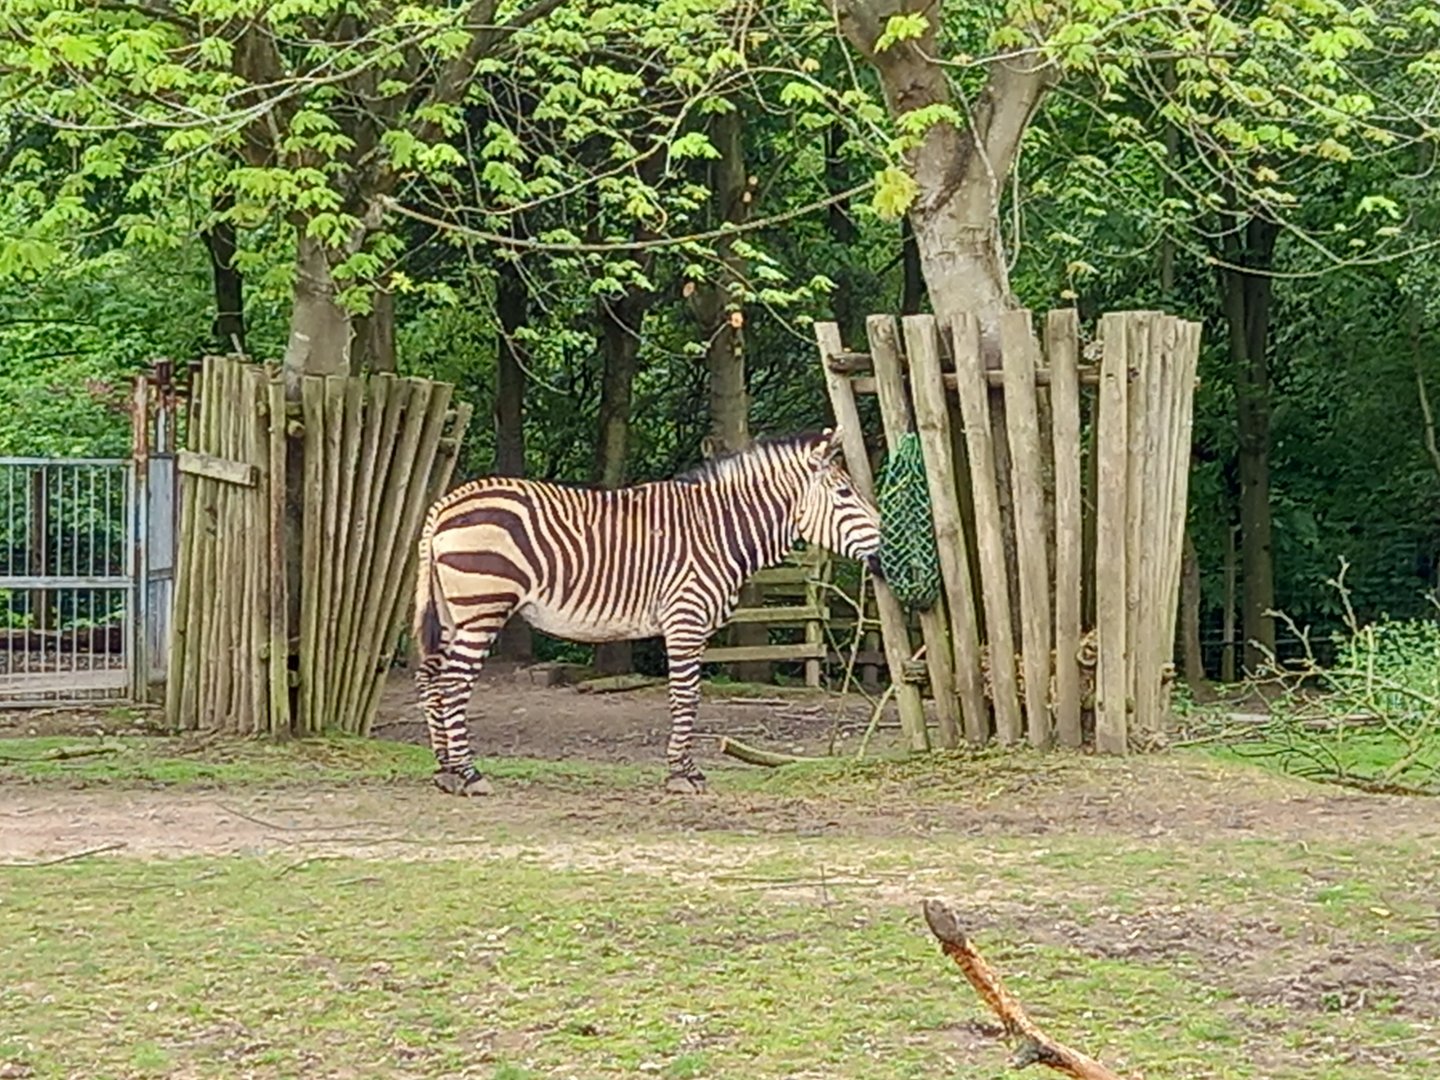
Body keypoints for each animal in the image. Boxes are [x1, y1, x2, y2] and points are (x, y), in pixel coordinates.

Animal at [412, 428, 883, 796]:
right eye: (845, 494)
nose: (885, 551)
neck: (718, 531)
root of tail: (446, 503)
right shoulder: (686, 619)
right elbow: (687, 695)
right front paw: (682, 774)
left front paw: (683, 770)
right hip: (482, 608)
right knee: (454, 683)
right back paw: (469, 775)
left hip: (452, 613)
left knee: (431, 679)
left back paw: (446, 772)